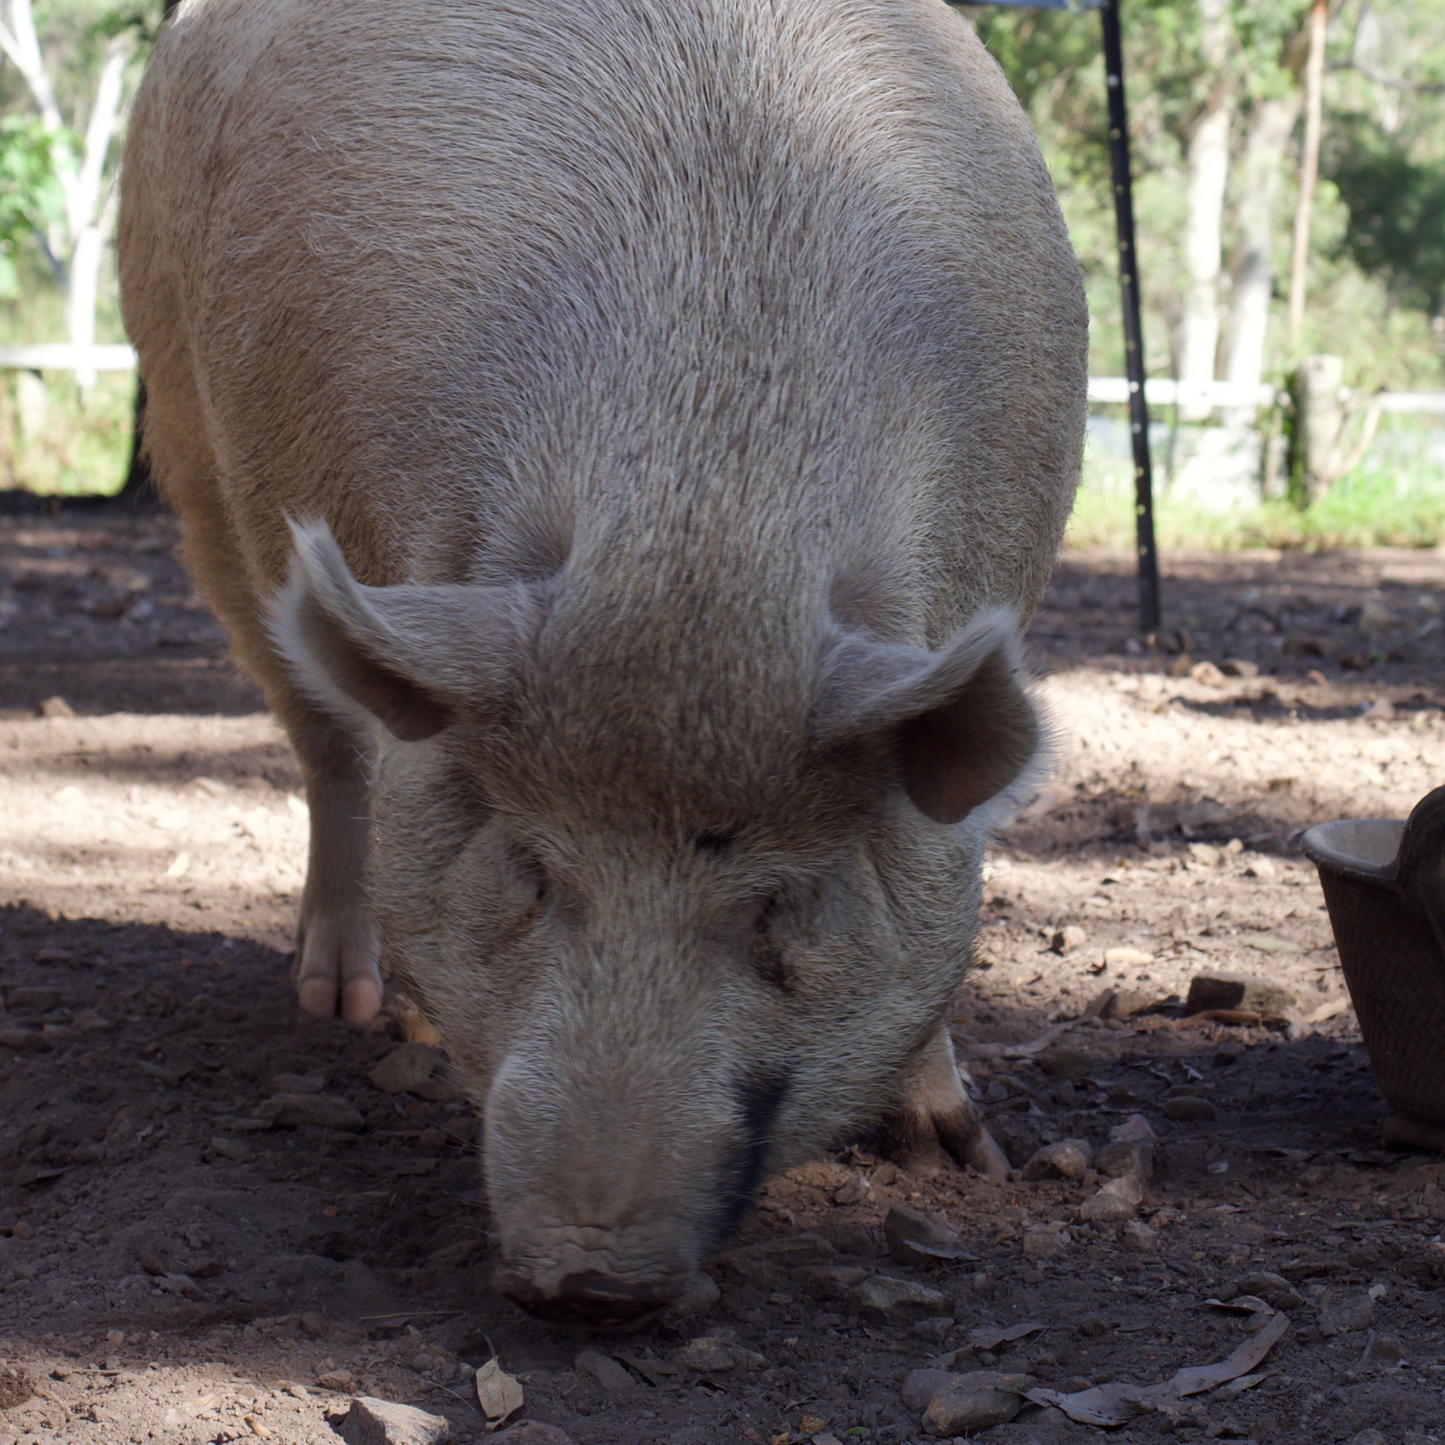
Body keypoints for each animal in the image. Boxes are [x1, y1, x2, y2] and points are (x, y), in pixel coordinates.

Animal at [119, 0, 1086, 1322]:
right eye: (529, 869)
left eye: (783, 900)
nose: (586, 1276)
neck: (703, 520)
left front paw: (964, 1159)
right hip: (189, 442)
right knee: (326, 741)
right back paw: (348, 1007)